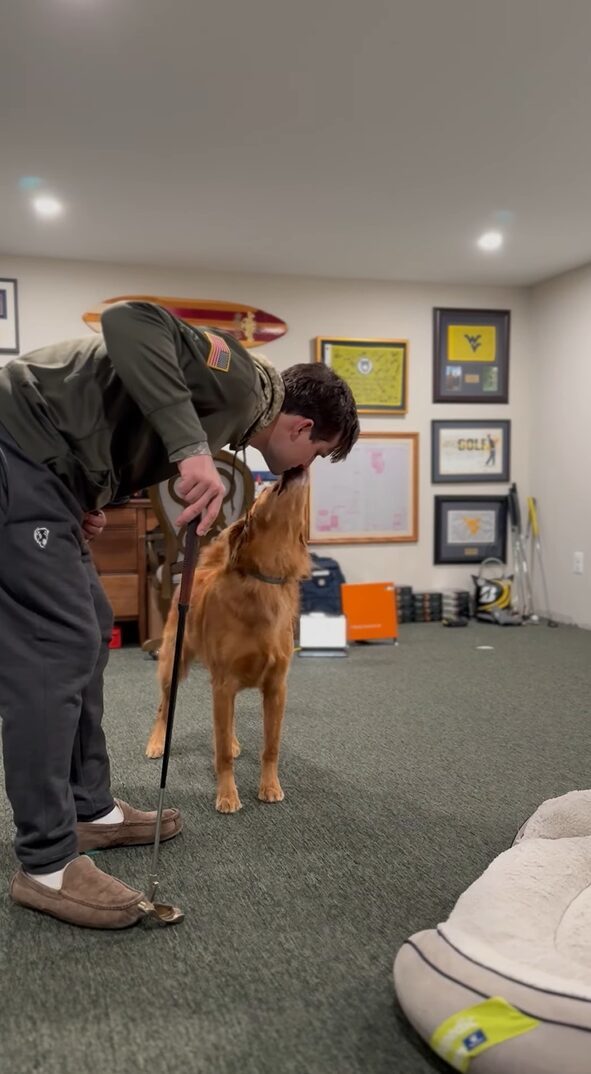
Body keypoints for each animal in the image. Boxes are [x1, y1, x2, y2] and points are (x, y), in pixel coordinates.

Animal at [145, 470, 309, 811]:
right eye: (272, 489)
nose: (292, 470)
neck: (264, 583)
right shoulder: (223, 685)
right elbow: (220, 752)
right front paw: (227, 795)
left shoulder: (276, 688)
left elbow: (270, 746)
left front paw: (270, 786)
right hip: (172, 665)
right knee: (163, 707)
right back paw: (156, 742)